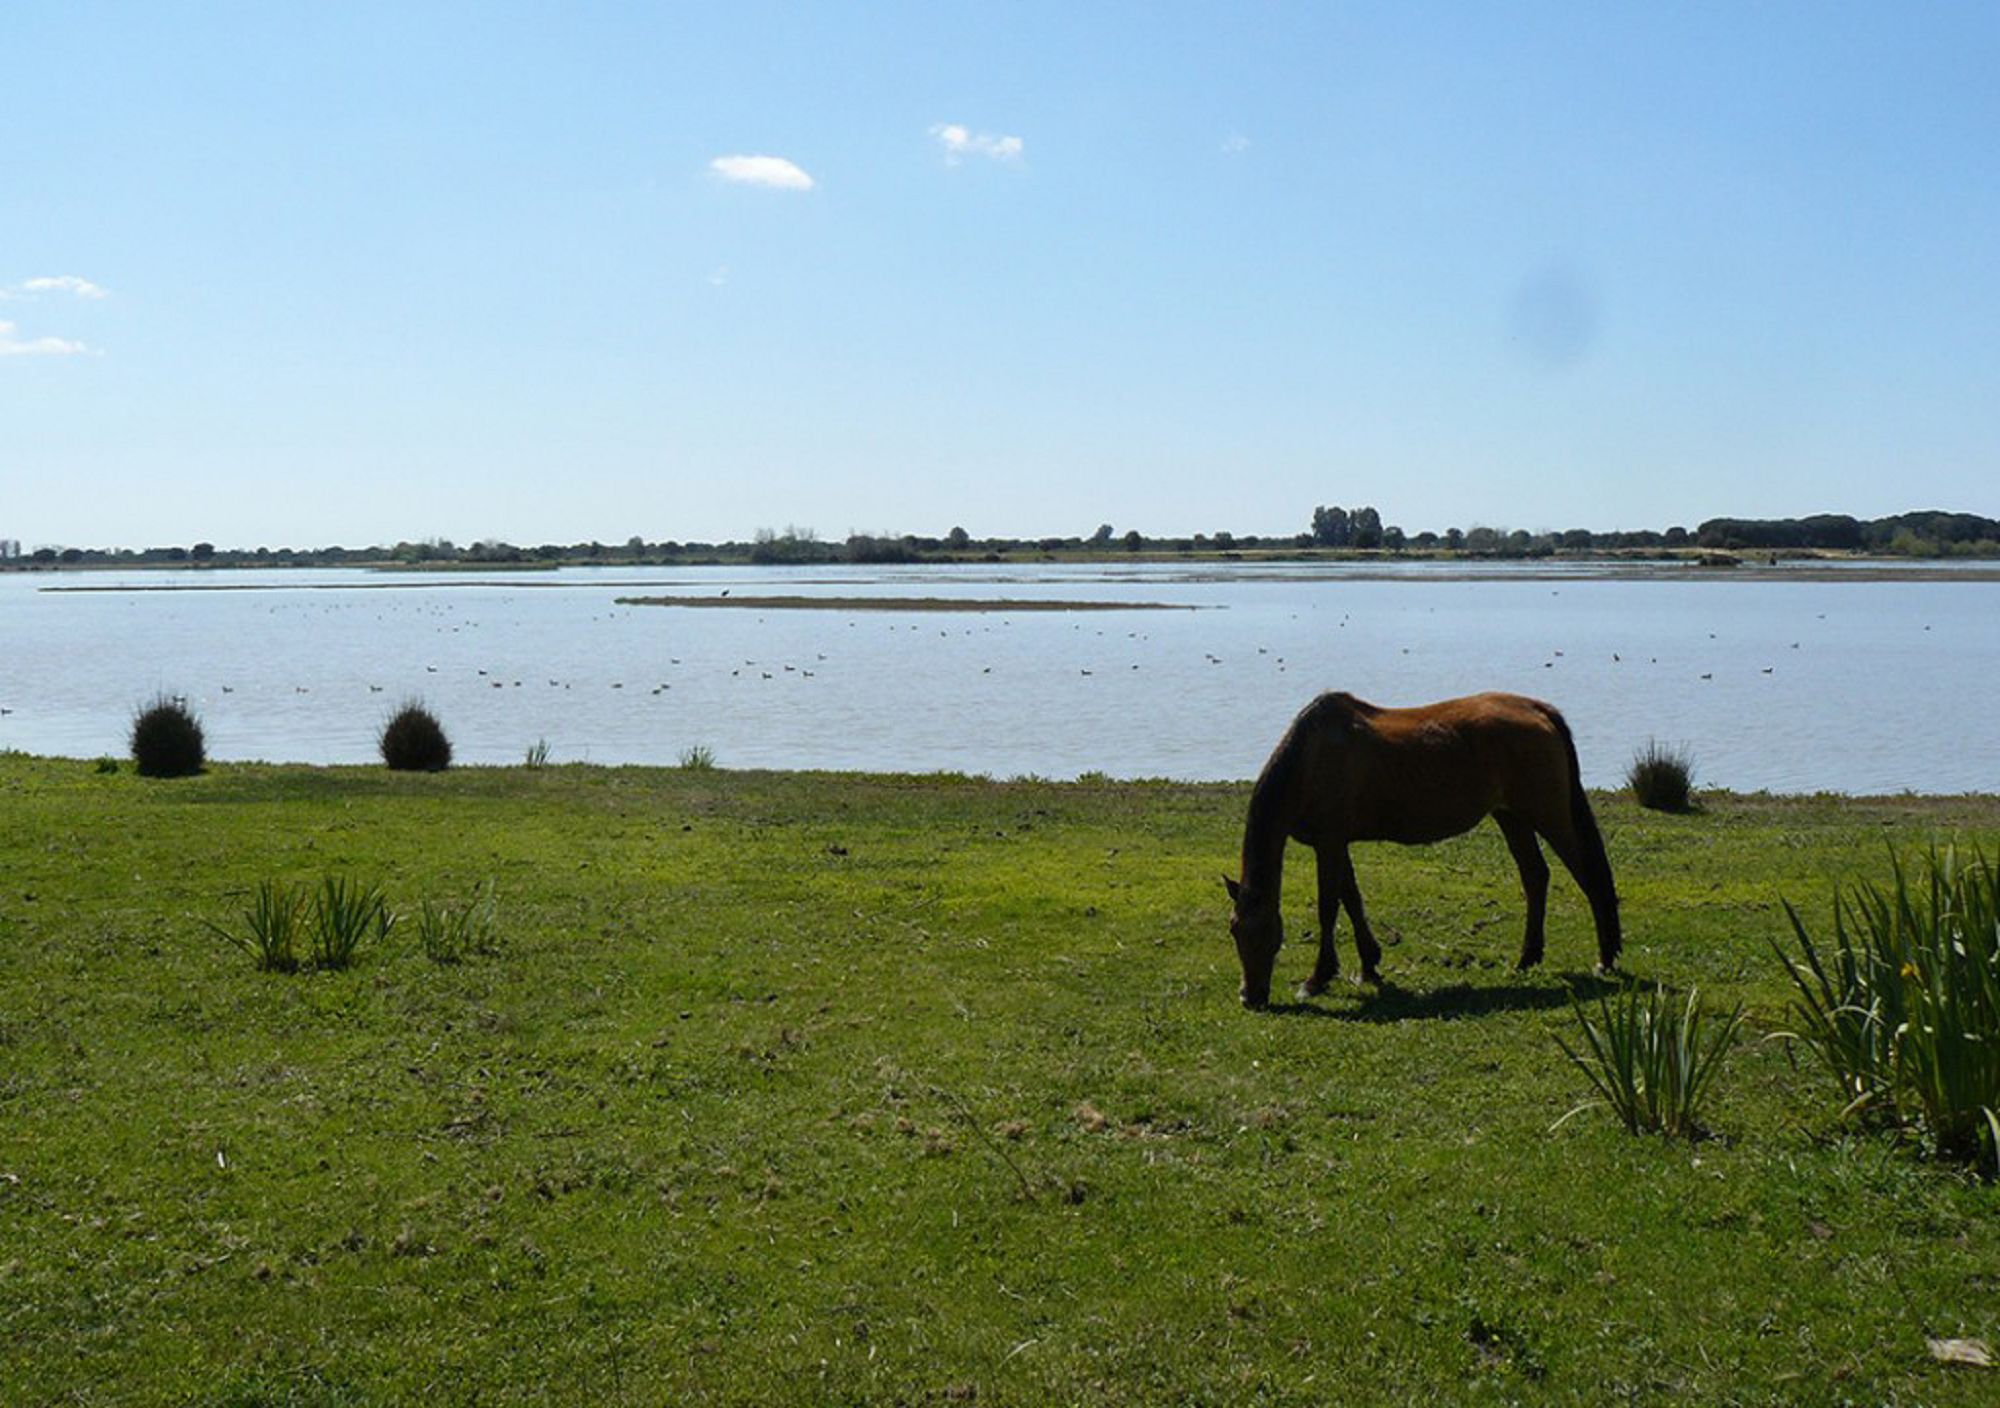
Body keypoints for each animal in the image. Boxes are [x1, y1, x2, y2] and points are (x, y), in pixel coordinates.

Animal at [1216, 692, 1624, 1000]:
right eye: (1234, 930)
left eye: (1264, 932)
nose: (1250, 997)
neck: (1311, 758)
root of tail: (1537, 709)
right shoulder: (1335, 843)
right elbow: (1352, 900)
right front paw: (1369, 965)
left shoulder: (1329, 844)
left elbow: (1329, 908)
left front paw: (1317, 978)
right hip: (1511, 817)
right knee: (1536, 876)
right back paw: (1527, 958)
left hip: (1548, 815)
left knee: (1588, 875)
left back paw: (1605, 958)